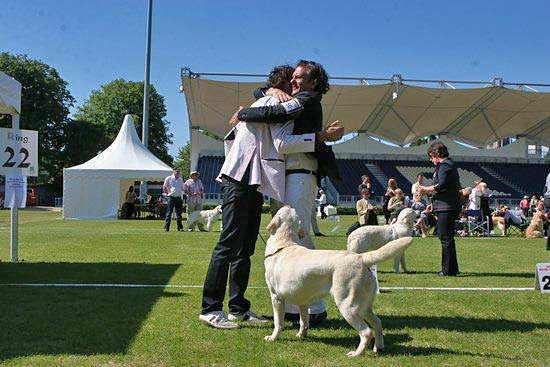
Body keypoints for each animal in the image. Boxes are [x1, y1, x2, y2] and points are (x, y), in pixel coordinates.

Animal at [264, 208, 414, 358]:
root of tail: (360, 257)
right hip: (364, 306)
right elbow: (304, 321)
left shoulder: (276, 297)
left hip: (347, 305)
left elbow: (278, 322)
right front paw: (301, 335)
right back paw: (378, 347)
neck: (284, 242)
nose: (288, 205)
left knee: (366, 332)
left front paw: (273, 337)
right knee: (377, 323)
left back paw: (356, 353)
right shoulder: (303, 301)